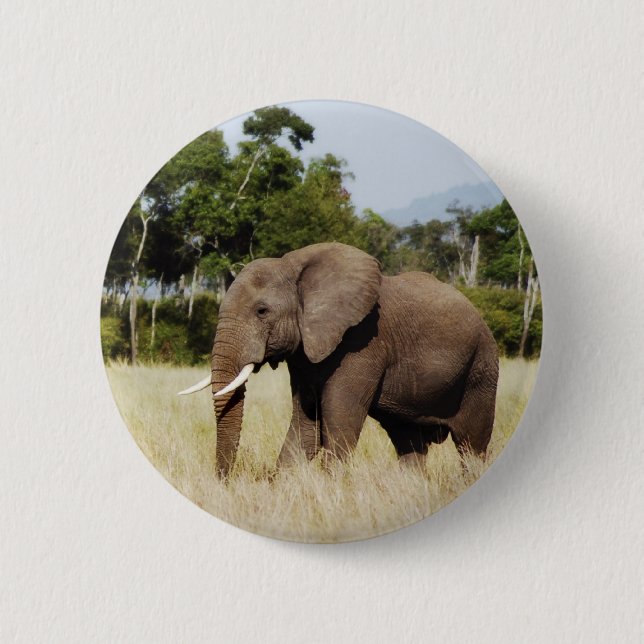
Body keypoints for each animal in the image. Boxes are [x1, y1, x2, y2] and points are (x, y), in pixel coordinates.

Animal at [179, 242, 499, 479]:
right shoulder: (305, 353)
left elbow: (338, 425)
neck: (294, 268)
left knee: (472, 445)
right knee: (409, 443)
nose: (224, 482)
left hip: (481, 368)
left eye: (262, 311)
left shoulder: (362, 343)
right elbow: (306, 426)